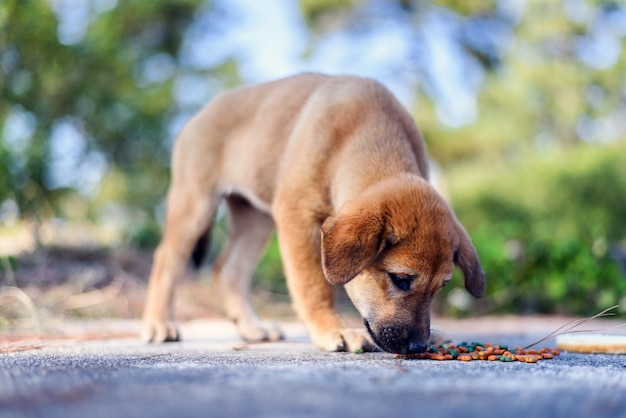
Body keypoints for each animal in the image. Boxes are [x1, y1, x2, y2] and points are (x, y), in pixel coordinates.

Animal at [143, 73, 482, 354]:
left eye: (442, 287)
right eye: (400, 279)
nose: (418, 347)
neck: (362, 134)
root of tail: (200, 113)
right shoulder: (298, 218)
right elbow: (314, 286)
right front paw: (332, 329)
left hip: (255, 220)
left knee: (229, 270)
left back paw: (252, 327)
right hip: (194, 204)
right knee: (167, 260)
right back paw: (159, 324)